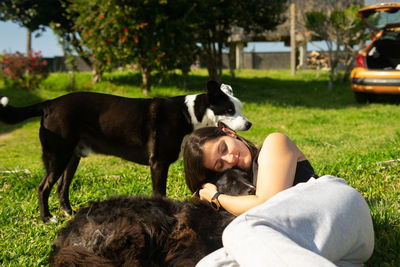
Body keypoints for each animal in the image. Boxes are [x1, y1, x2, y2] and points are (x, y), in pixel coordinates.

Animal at [0, 80, 250, 223]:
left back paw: (68, 213)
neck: (189, 115)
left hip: (72, 157)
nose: (249, 125)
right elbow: (159, 193)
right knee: (43, 187)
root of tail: (49, 103)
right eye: (229, 110)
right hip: (57, 156)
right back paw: (46, 218)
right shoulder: (159, 163)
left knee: (62, 187)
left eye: (240, 108)